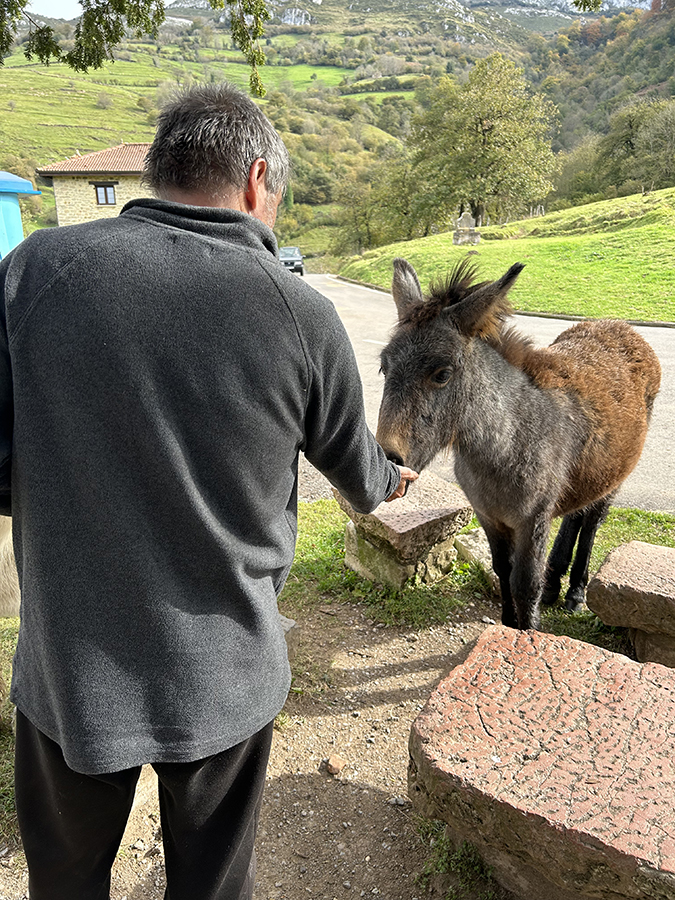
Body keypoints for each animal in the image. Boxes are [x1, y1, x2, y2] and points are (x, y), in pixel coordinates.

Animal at [376, 257, 661, 630]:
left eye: (442, 374)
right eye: (384, 367)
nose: (388, 460)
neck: (502, 447)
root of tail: (621, 326)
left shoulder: (532, 520)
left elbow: (525, 584)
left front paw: (527, 631)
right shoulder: (489, 516)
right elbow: (502, 571)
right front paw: (511, 624)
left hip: (614, 479)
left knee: (591, 522)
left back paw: (575, 592)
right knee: (574, 515)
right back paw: (555, 586)